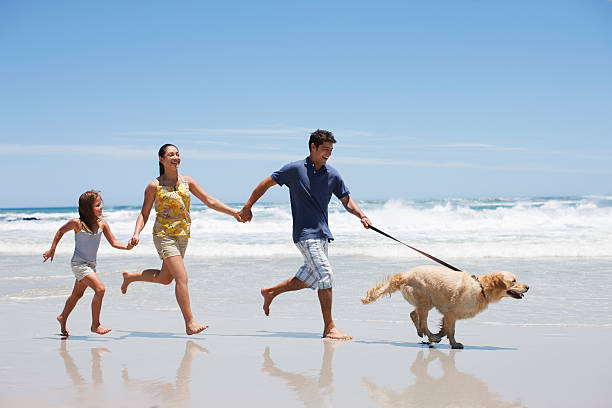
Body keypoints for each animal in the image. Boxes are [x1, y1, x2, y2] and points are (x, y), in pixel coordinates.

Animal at [360, 266, 528, 350]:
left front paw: (440, 334)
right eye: (513, 281)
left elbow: (445, 328)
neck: (481, 288)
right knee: (421, 321)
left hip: (426, 302)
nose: (528, 287)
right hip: (425, 300)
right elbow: (451, 331)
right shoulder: (451, 313)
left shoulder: (447, 313)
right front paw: (454, 344)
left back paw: (425, 334)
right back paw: (431, 336)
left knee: (413, 314)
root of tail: (404, 276)